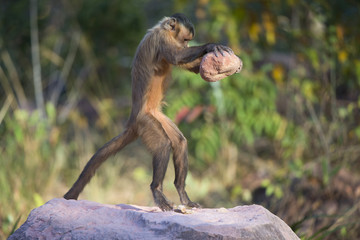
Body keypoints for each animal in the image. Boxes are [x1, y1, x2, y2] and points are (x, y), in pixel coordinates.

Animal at [64, 13, 233, 210]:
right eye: (185, 40)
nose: (186, 46)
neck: (162, 29)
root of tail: (132, 118)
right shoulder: (162, 39)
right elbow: (176, 57)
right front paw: (210, 46)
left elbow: (191, 66)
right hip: (145, 121)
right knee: (163, 145)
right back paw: (156, 190)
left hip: (157, 116)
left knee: (180, 142)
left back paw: (182, 193)